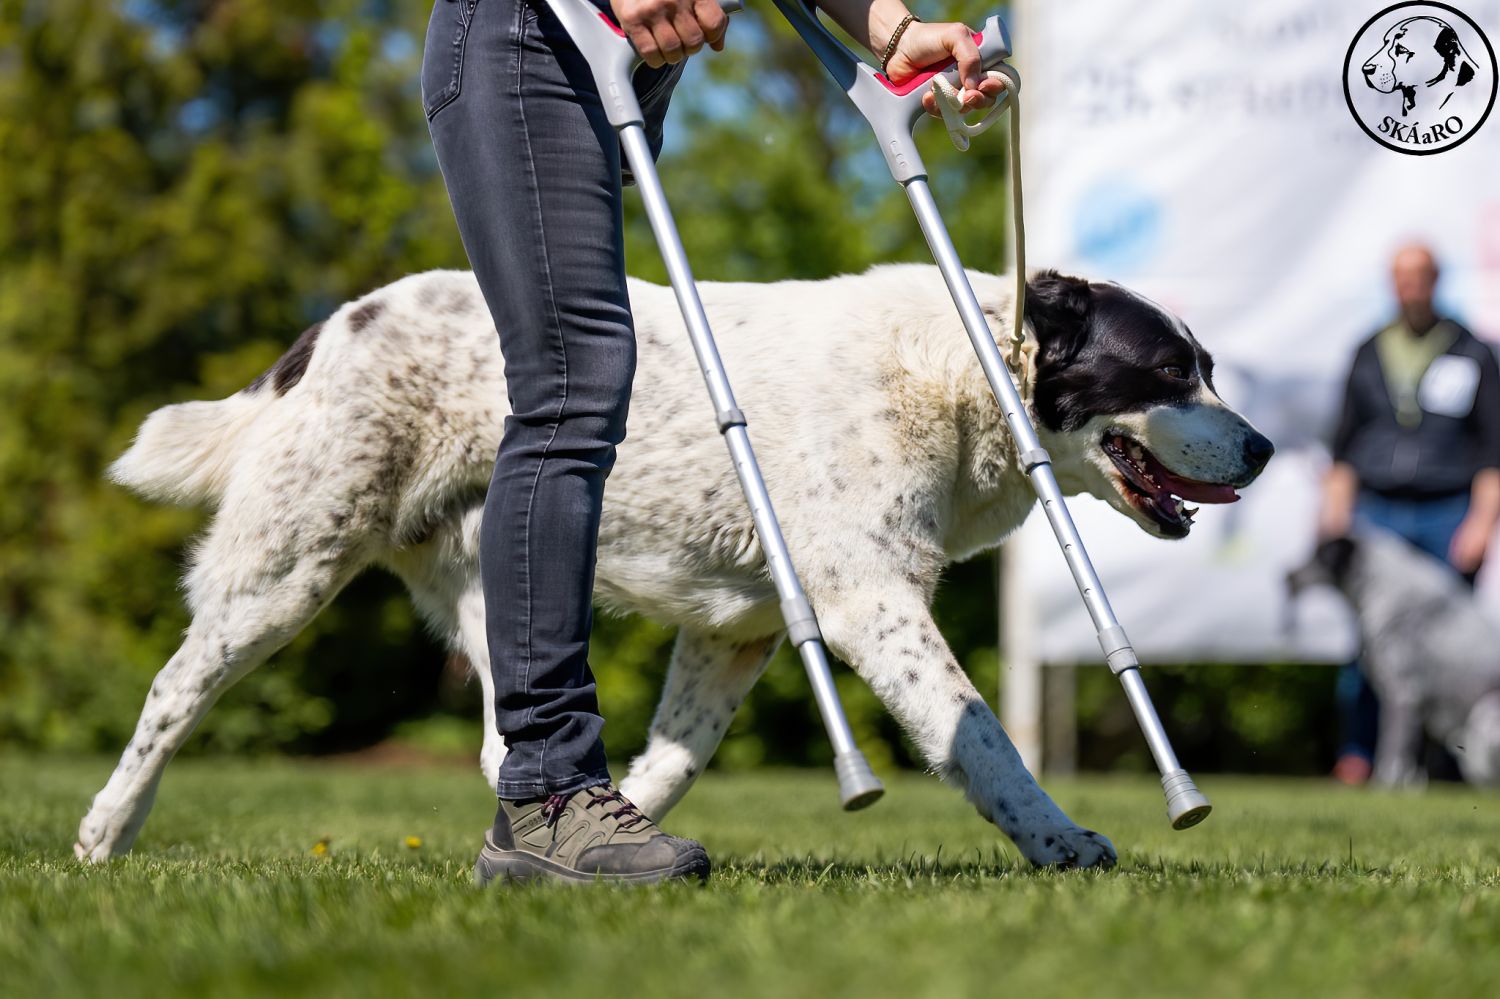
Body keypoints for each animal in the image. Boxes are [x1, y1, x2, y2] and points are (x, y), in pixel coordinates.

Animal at [77, 264, 1272, 868]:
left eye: (1210, 365)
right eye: (1169, 371)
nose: (1263, 447)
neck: (963, 366)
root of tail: (334, 326)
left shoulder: (736, 628)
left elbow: (678, 754)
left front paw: (606, 839)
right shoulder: (871, 599)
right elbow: (980, 738)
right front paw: (1062, 843)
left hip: (490, 591)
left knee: (503, 740)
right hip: (290, 564)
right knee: (174, 688)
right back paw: (104, 835)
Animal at [1287, 529, 1500, 788]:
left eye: (1320, 554)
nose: (1287, 574)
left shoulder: (1403, 695)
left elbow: (1393, 747)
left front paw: (1387, 782)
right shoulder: (1415, 706)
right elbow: (1413, 756)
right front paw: (1411, 784)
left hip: (1486, 710)